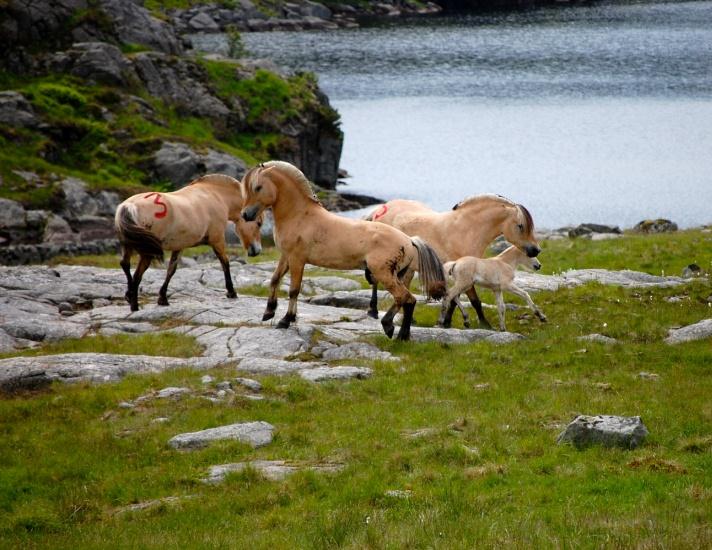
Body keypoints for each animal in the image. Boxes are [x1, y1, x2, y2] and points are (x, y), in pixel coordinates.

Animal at [114, 174, 264, 310]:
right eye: (259, 223)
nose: (257, 250)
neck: (216, 195)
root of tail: (129, 206)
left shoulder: (179, 246)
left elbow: (171, 270)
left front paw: (163, 298)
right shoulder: (217, 240)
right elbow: (225, 263)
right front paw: (231, 292)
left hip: (128, 247)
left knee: (125, 265)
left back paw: (129, 296)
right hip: (147, 253)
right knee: (137, 275)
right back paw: (134, 306)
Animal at [242, 161, 448, 340]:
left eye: (258, 187)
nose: (245, 215)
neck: (300, 216)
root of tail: (409, 241)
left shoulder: (297, 259)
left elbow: (294, 290)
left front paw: (285, 320)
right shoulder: (286, 256)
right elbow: (274, 280)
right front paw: (268, 312)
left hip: (384, 273)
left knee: (406, 298)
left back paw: (393, 331)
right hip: (397, 275)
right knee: (405, 300)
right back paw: (396, 332)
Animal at [368, 196, 540, 330]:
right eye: (520, 226)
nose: (536, 250)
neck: (465, 230)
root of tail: (381, 209)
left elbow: (453, 300)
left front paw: (448, 322)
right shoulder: (467, 277)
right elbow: (474, 301)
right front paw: (484, 324)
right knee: (377, 281)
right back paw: (373, 311)